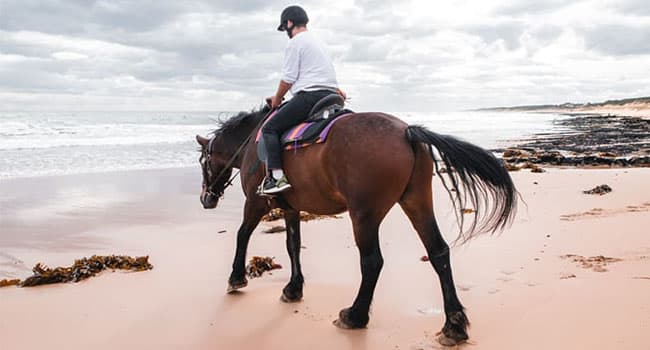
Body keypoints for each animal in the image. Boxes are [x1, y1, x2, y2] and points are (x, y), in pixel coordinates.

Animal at [194, 104, 516, 344]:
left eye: (203, 161)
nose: (205, 199)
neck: (252, 143)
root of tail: (406, 132)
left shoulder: (255, 203)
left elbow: (242, 235)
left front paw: (236, 277)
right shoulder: (292, 208)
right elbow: (293, 245)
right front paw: (293, 289)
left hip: (364, 214)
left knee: (372, 261)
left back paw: (355, 315)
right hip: (417, 201)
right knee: (439, 252)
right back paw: (454, 325)